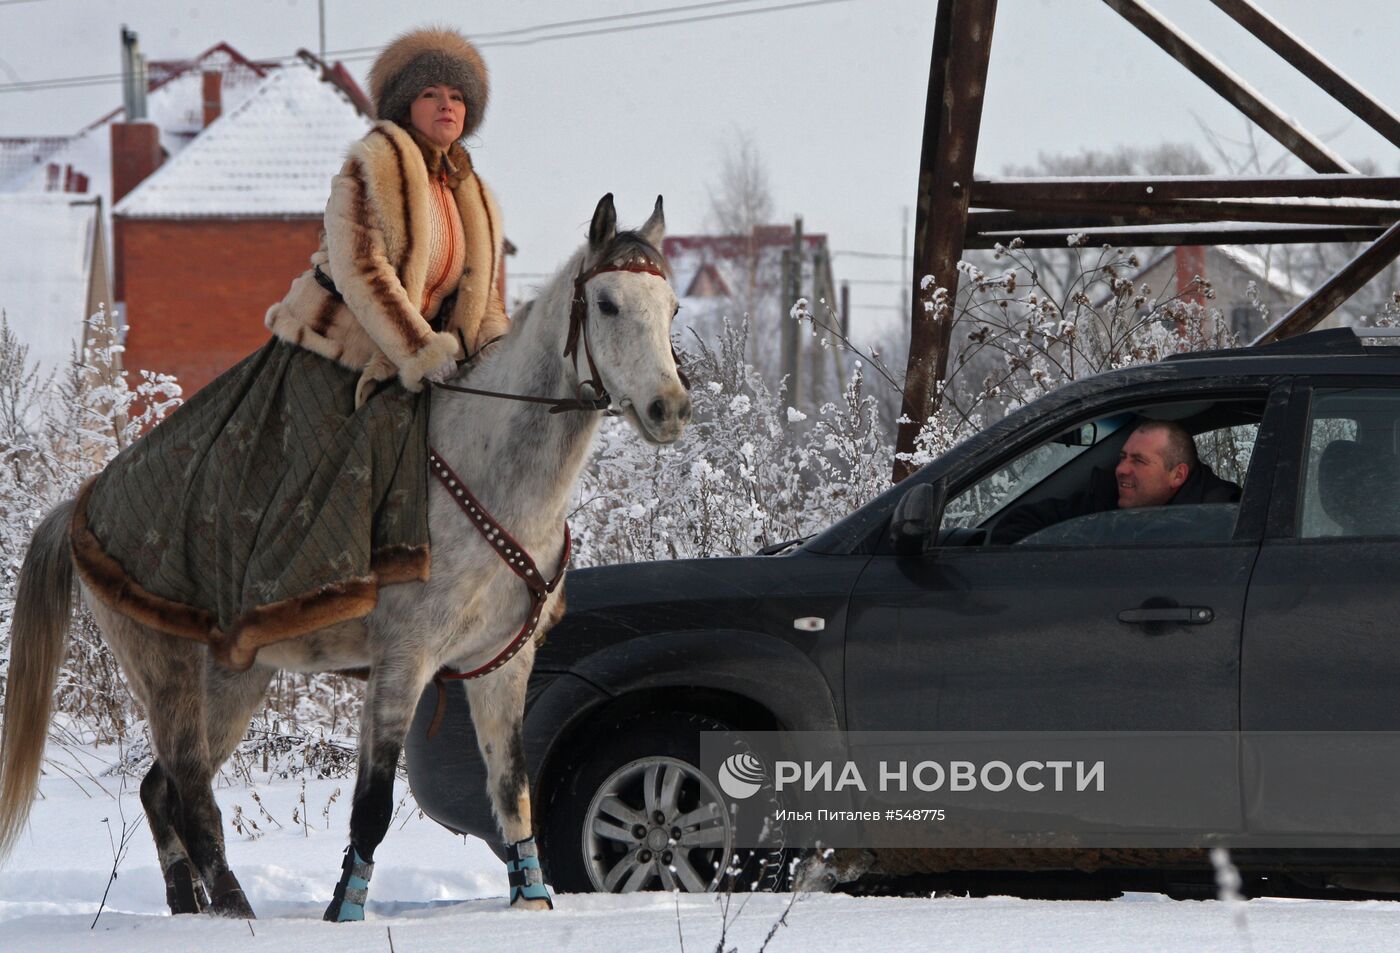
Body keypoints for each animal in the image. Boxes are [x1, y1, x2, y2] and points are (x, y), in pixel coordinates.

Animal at [0, 191, 688, 912]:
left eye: (671, 308)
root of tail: (82, 507)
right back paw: (237, 914)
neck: (495, 479)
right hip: (170, 676)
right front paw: (344, 908)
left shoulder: (502, 666)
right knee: (190, 797)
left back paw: (195, 911)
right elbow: (373, 806)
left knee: (161, 790)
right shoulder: (403, 660)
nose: (669, 408)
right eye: (607, 303)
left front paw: (533, 902)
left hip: (232, 683)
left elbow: (512, 793)